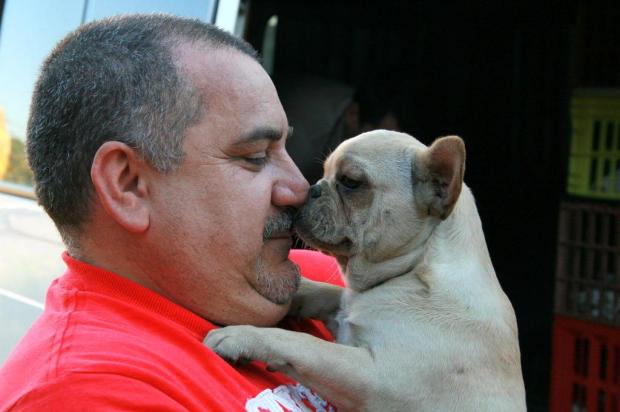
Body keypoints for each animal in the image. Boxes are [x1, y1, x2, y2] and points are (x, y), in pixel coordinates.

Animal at [206, 131, 524, 408]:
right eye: (325, 172)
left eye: (350, 182)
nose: (311, 188)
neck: (414, 269)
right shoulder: (349, 311)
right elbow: (329, 293)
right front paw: (298, 292)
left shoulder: (374, 376)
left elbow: (307, 346)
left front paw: (242, 336)